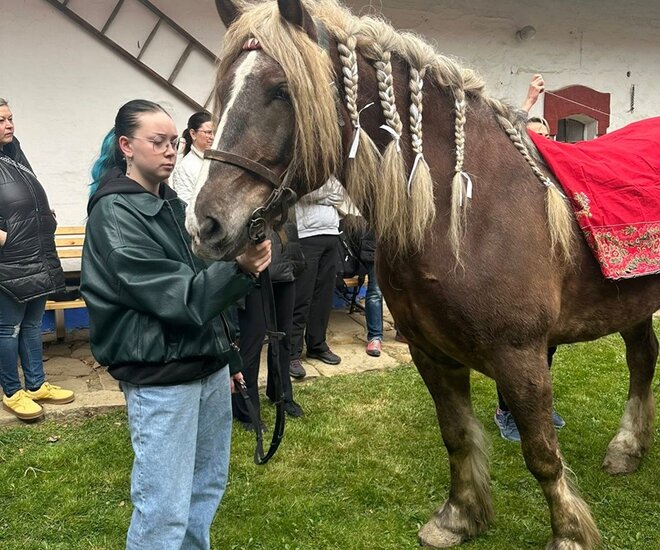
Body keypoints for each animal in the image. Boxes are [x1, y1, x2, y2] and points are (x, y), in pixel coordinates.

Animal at [185, 1, 660, 548]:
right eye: (224, 89)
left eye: (281, 90)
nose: (206, 223)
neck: (468, 213)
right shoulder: (430, 352)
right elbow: (457, 435)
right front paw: (458, 516)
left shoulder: (521, 356)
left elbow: (541, 452)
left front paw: (569, 533)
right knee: (643, 359)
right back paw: (627, 448)